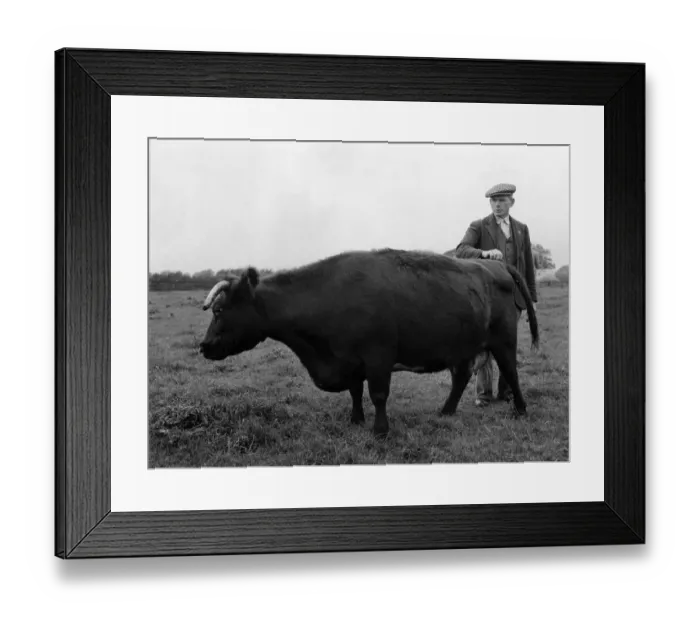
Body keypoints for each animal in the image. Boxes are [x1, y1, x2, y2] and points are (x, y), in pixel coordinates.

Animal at [199, 248, 539, 437]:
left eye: (219, 310)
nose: (203, 346)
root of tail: (496, 264)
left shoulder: (378, 357)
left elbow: (377, 394)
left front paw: (380, 430)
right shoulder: (350, 360)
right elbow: (355, 392)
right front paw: (355, 420)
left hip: (503, 340)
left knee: (510, 372)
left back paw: (521, 410)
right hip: (461, 346)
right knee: (461, 377)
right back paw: (446, 411)